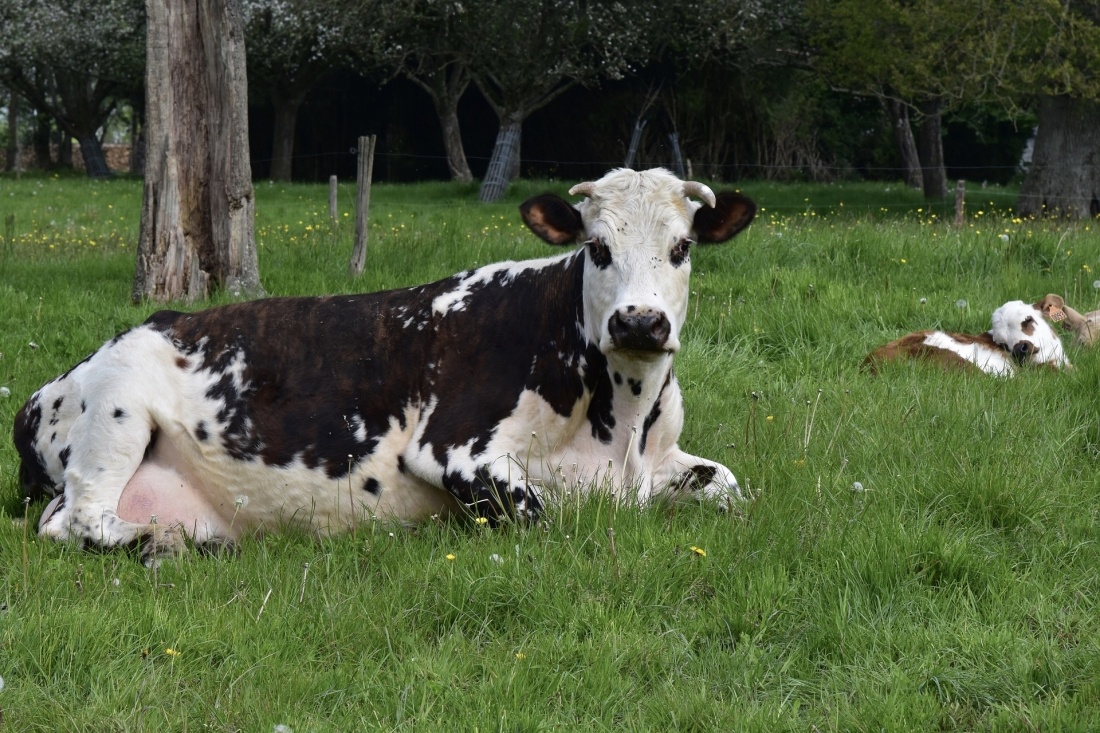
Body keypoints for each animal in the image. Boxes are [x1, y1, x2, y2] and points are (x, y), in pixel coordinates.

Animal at [13, 167, 757, 564]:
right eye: (597, 247)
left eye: (684, 246)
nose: (639, 321)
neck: (622, 424)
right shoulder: (455, 449)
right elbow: (542, 518)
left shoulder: (668, 459)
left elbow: (731, 486)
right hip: (116, 410)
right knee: (80, 519)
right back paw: (174, 545)